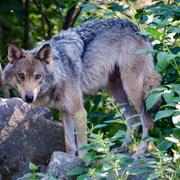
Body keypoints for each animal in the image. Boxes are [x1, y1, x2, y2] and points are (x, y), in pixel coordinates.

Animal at [1, 18, 162, 158]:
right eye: (21, 75)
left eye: (38, 76)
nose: (29, 98)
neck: (60, 71)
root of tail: (137, 28)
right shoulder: (65, 111)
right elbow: (70, 145)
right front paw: (68, 162)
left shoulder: (79, 112)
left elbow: (82, 145)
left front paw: (83, 165)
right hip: (115, 93)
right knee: (132, 120)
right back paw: (122, 148)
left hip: (133, 90)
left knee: (147, 121)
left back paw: (140, 152)